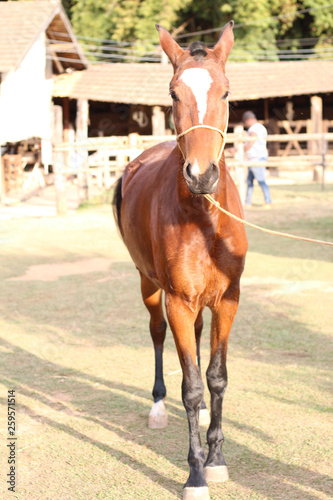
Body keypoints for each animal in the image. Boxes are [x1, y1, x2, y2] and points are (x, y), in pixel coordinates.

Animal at [113, 21, 248, 498]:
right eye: (173, 94)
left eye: (226, 92)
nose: (202, 175)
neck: (204, 218)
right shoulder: (177, 301)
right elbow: (190, 386)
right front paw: (196, 474)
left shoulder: (228, 300)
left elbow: (216, 376)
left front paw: (218, 459)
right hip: (149, 285)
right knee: (157, 334)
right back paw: (157, 405)